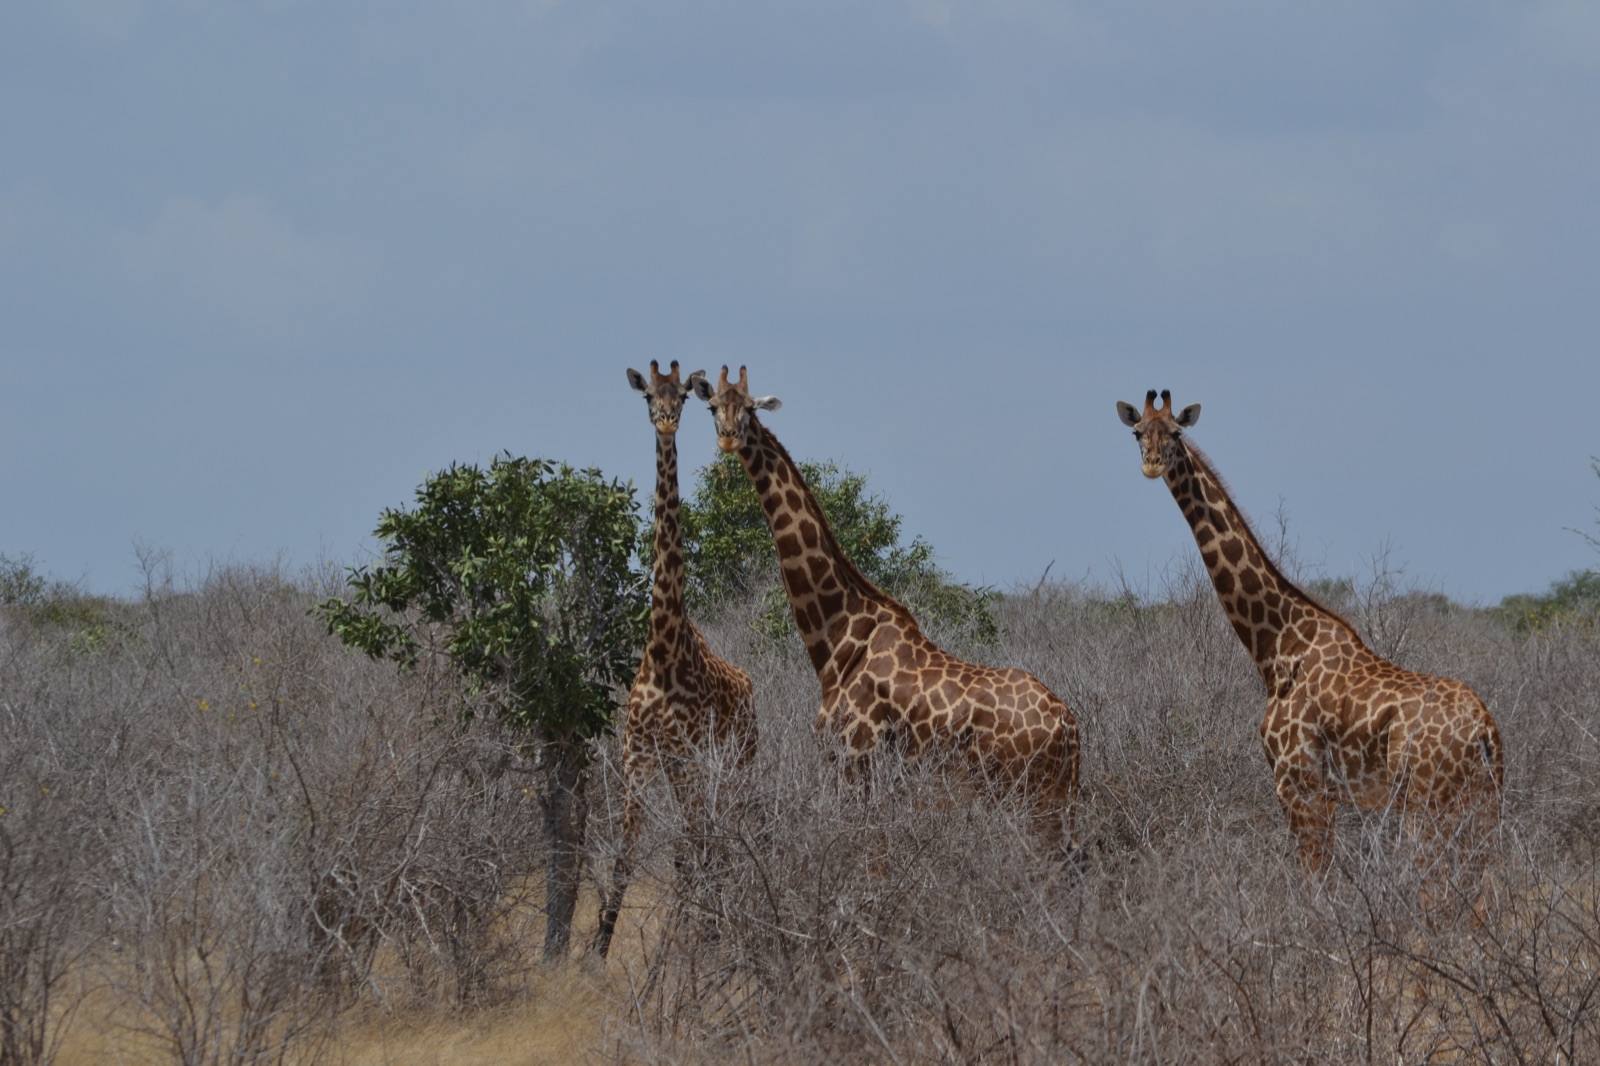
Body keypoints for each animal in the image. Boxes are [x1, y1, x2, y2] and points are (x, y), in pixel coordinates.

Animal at [590, 360, 757, 960]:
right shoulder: (638, 754)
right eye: (648, 398)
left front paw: (688, 946)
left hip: (738, 759)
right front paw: (596, 953)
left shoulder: (683, 755)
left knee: (726, 835)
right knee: (712, 839)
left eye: (682, 397)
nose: (665, 422)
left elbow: (690, 852)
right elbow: (624, 857)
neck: (663, 646)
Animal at [697, 366, 1080, 856]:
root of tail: (1069, 726)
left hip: (1030, 797)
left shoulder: (853, 757)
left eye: (748, 408)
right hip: (1059, 797)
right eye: (712, 406)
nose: (728, 438)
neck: (837, 637)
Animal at [1117, 389, 1503, 912]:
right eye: (1138, 432)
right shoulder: (1325, 793)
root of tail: (1485, 729)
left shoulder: (1298, 782)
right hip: (1481, 801)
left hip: (1427, 801)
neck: (1277, 646)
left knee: (1438, 890)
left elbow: (1313, 885)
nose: (1153, 465)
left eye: (1177, 433)